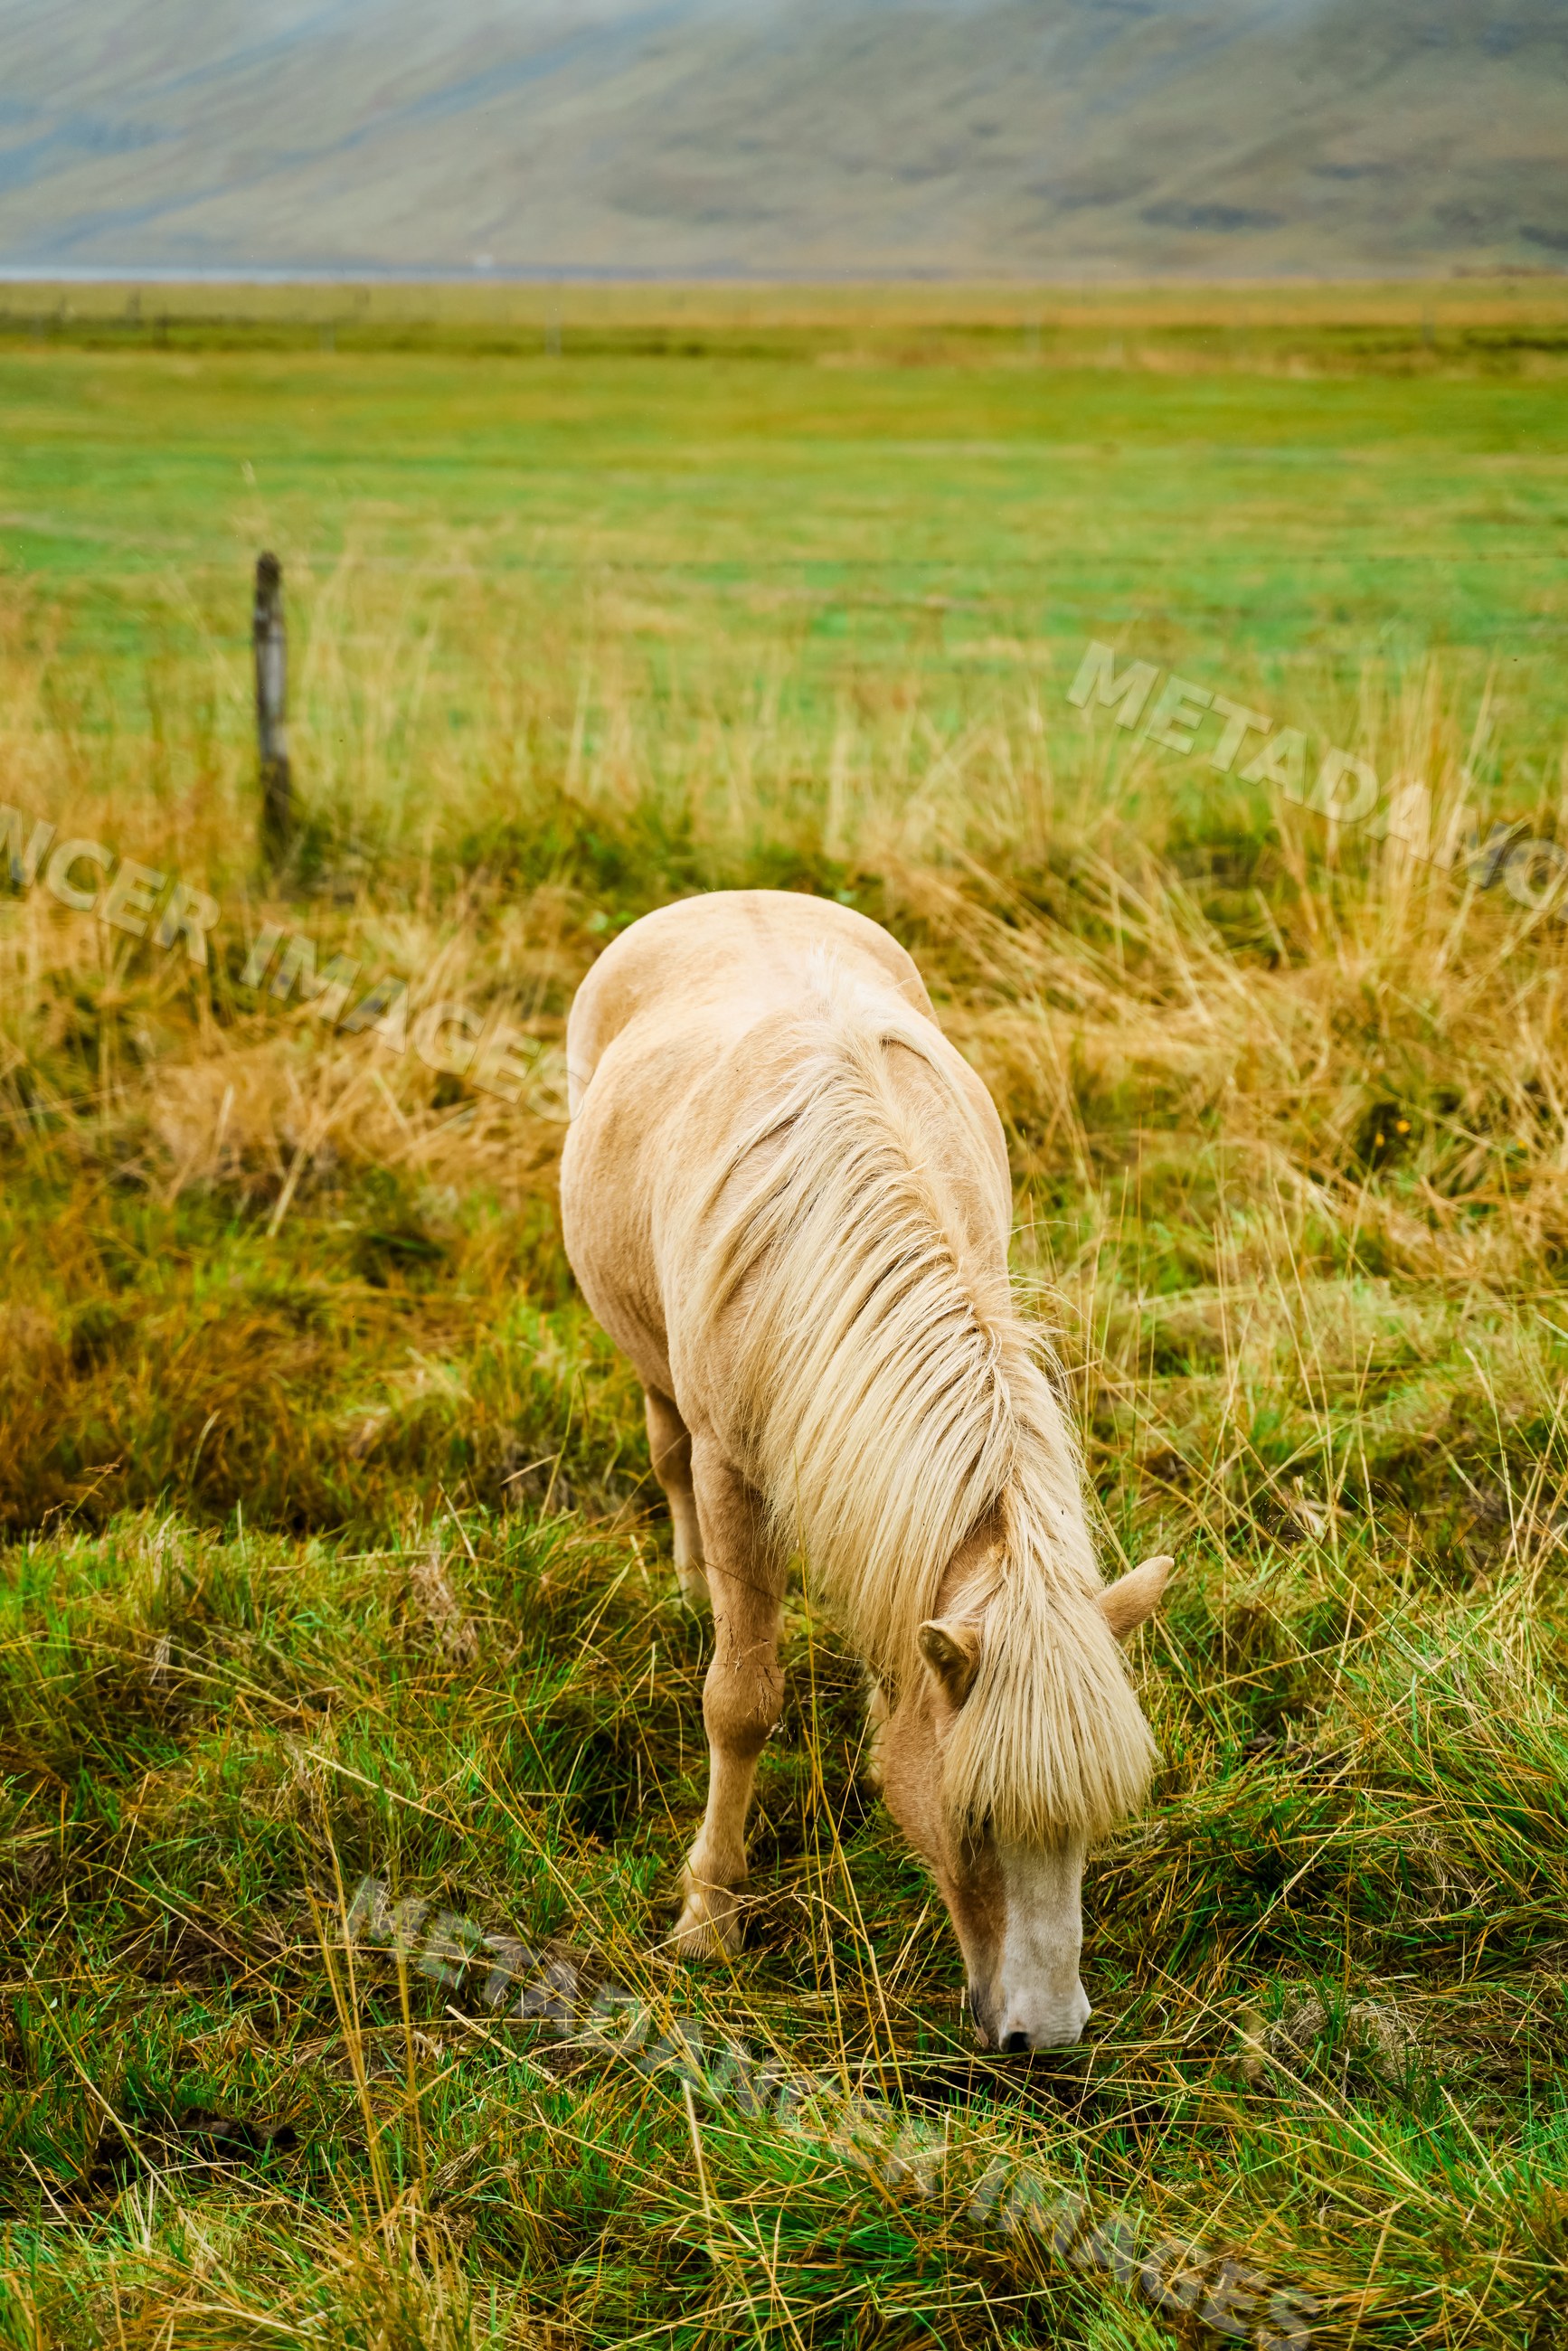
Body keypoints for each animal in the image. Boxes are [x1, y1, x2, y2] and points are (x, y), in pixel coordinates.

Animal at [559, 889, 1171, 2051]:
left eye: (1096, 1818)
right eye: (977, 1816)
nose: (1046, 2035)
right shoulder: (734, 1471)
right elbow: (740, 1700)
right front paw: (709, 1914)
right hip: (643, 1350)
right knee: (663, 1447)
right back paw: (688, 1580)